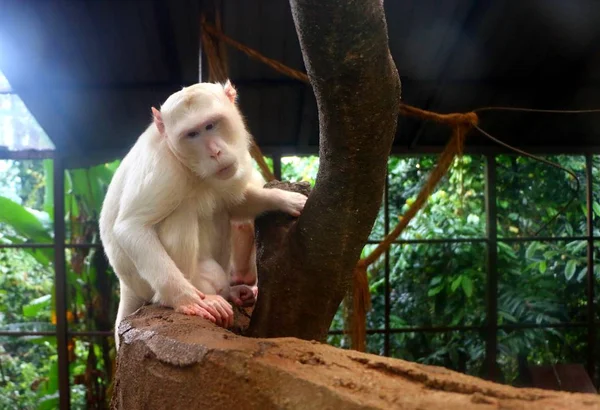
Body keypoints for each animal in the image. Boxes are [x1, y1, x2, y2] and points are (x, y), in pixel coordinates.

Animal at [100, 78, 308, 348]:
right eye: (192, 134)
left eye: (210, 125)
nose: (215, 153)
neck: (192, 166)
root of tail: (125, 285)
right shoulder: (164, 169)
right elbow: (131, 227)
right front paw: (186, 299)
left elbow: (235, 203)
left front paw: (284, 199)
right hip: (151, 283)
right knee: (182, 210)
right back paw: (192, 294)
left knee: (220, 208)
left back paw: (232, 291)